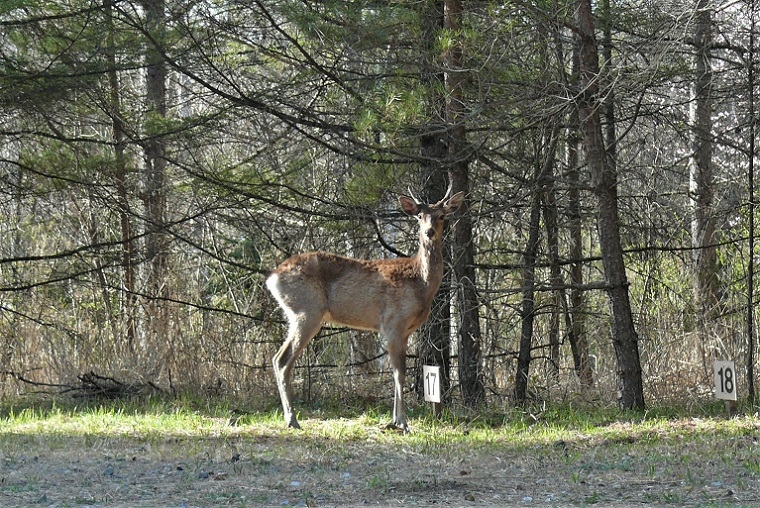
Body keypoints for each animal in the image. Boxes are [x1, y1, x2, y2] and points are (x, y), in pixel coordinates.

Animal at [264, 184, 466, 432]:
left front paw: (393, 420)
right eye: (419, 216)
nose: (429, 232)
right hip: (307, 311)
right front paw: (402, 422)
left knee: (277, 358)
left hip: (298, 314)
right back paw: (292, 420)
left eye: (442, 216)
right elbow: (400, 373)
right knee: (283, 360)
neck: (420, 284)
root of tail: (272, 278)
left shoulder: (405, 331)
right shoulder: (393, 322)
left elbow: (395, 371)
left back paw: (290, 417)